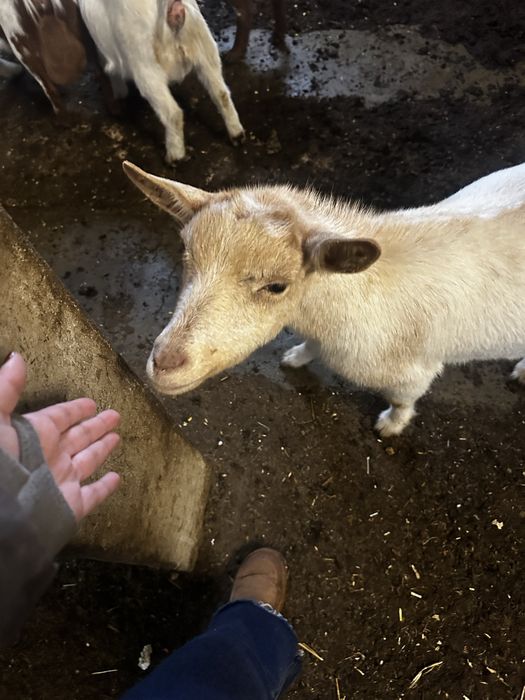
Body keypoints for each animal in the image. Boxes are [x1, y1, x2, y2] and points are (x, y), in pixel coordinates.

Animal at [78, 0, 245, 163]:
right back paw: (237, 135)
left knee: (173, 113)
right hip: (204, 46)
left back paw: (174, 157)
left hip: (145, 64)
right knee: (221, 93)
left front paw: (118, 96)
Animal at [122, 160, 525, 436]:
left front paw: (390, 426)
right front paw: (297, 357)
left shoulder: (414, 373)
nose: (165, 363)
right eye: (186, 252)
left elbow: (403, 400)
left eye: (277, 286)